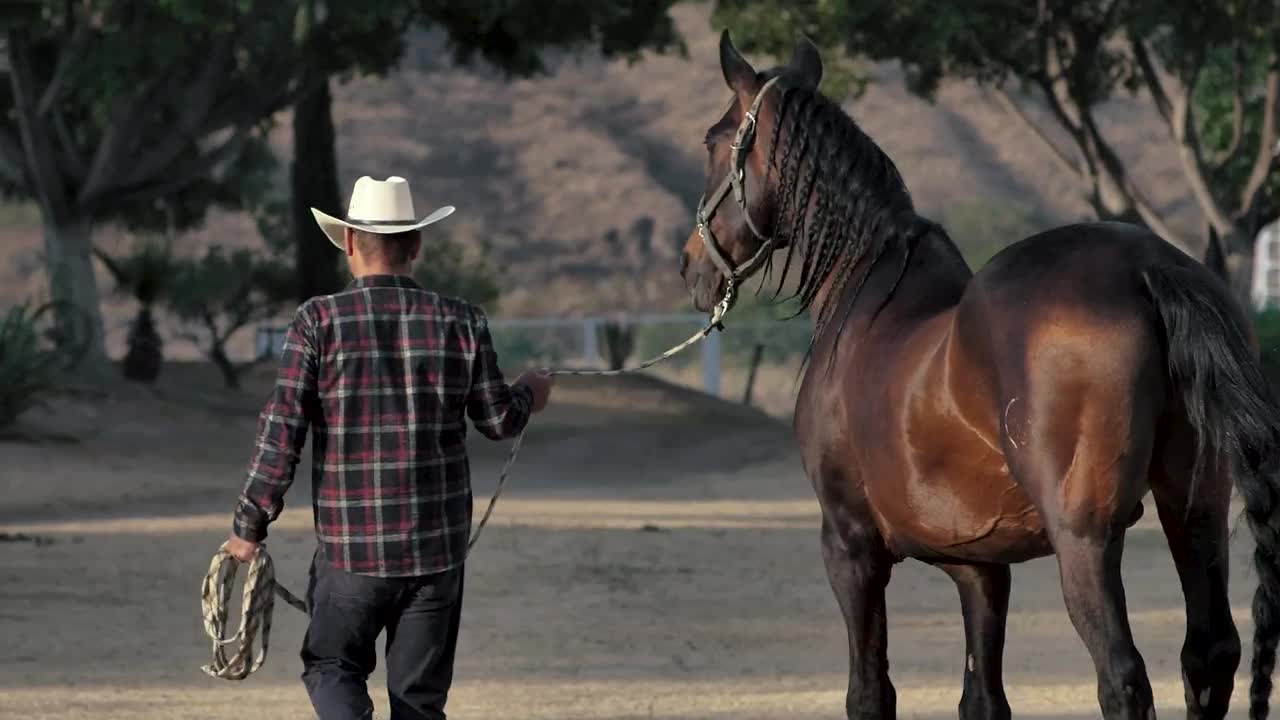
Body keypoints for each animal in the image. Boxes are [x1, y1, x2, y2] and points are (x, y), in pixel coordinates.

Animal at [679, 30, 1280, 720]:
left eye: (713, 141)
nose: (691, 269)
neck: (865, 293)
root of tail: (1148, 266)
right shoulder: (980, 568)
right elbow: (983, 697)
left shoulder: (851, 546)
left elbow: (870, 692)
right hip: (1196, 510)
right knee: (1208, 656)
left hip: (1085, 539)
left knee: (1123, 677)